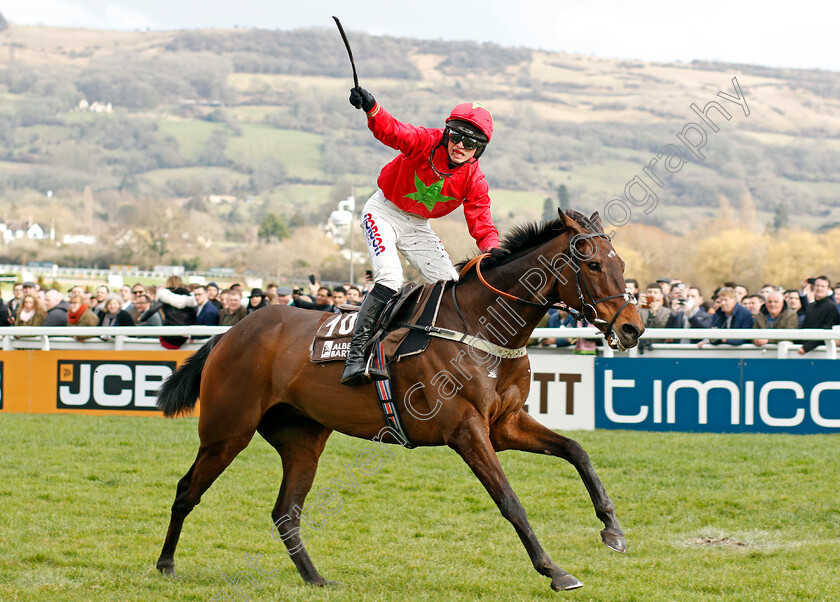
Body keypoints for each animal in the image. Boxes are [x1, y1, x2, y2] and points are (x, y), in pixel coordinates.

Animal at [154, 210, 644, 592]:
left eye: (620, 263)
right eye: (594, 264)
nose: (633, 328)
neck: (480, 328)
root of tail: (231, 332)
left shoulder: (504, 424)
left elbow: (577, 451)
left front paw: (612, 530)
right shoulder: (466, 430)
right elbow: (510, 500)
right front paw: (555, 570)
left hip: (301, 439)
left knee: (285, 513)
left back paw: (315, 578)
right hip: (227, 430)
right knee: (187, 490)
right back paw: (165, 564)